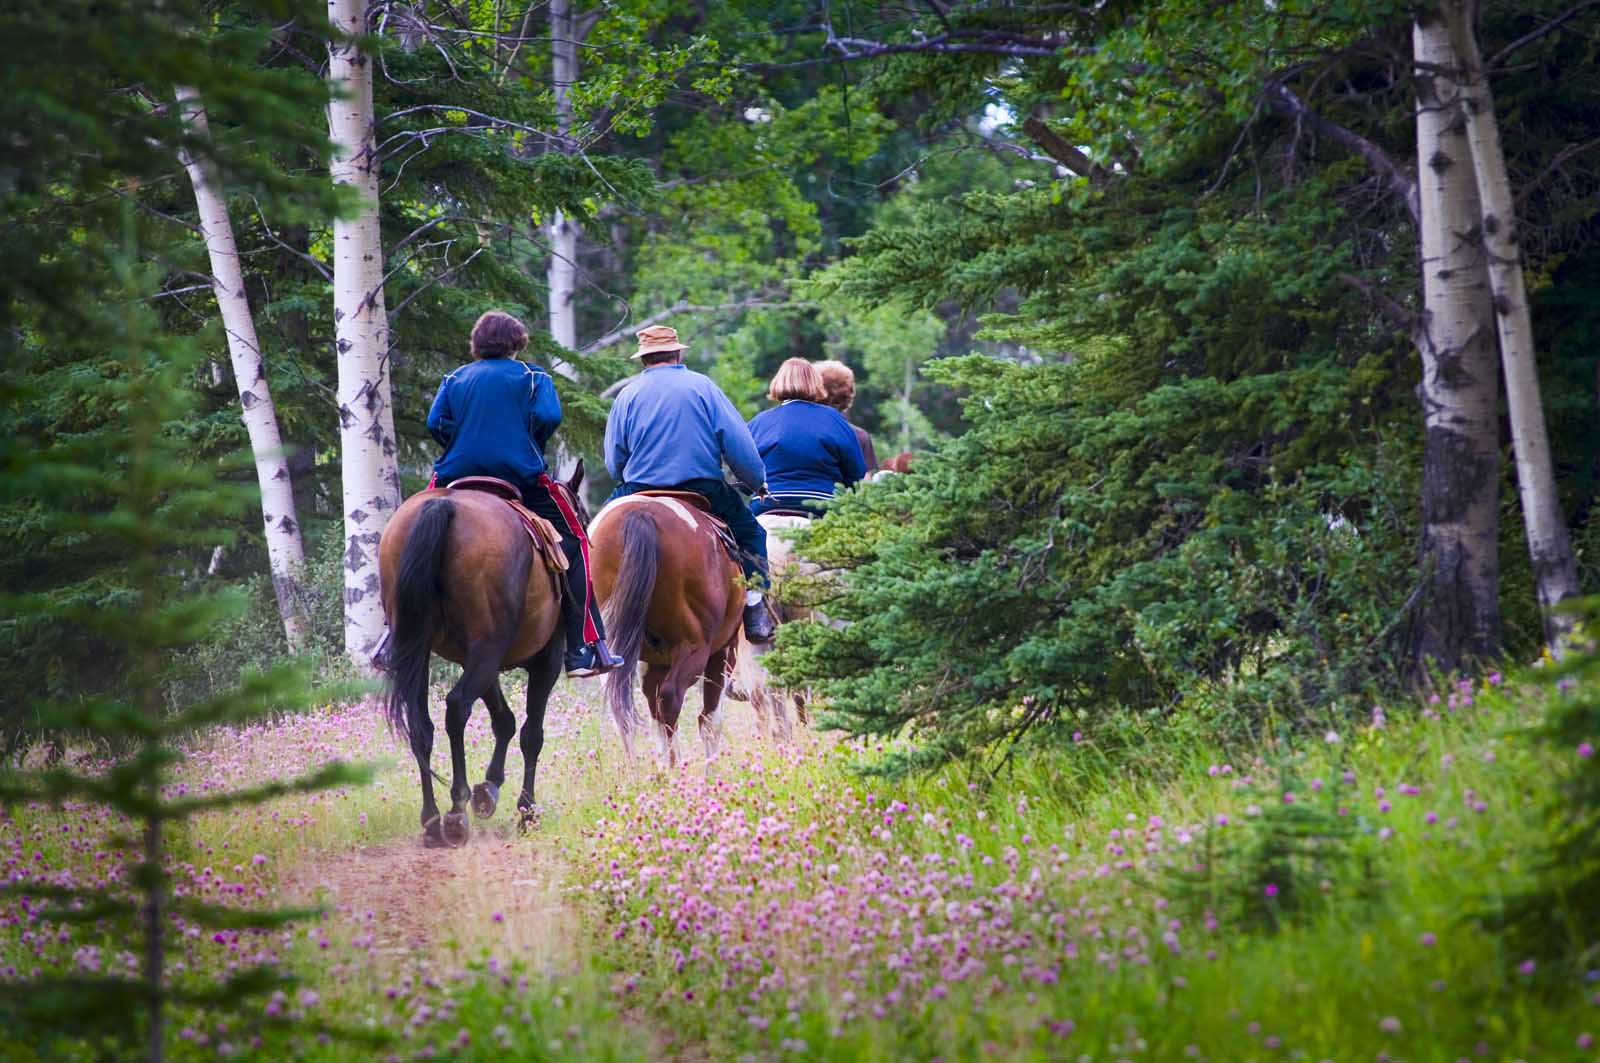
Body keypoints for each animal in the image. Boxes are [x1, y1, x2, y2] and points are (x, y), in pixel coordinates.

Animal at [377, 464, 592, 845]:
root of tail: (443, 506)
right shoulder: (545, 659)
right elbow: (531, 734)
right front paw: (526, 812)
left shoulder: (477, 657)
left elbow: (504, 721)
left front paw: (488, 791)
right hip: (489, 649)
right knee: (457, 706)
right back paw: (456, 811)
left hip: (425, 649)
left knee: (421, 723)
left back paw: (432, 819)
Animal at [592, 489, 745, 765]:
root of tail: (640, 514)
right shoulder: (725, 650)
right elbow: (710, 721)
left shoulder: (653, 663)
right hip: (695, 647)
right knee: (672, 699)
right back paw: (678, 768)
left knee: (624, 710)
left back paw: (637, 769)